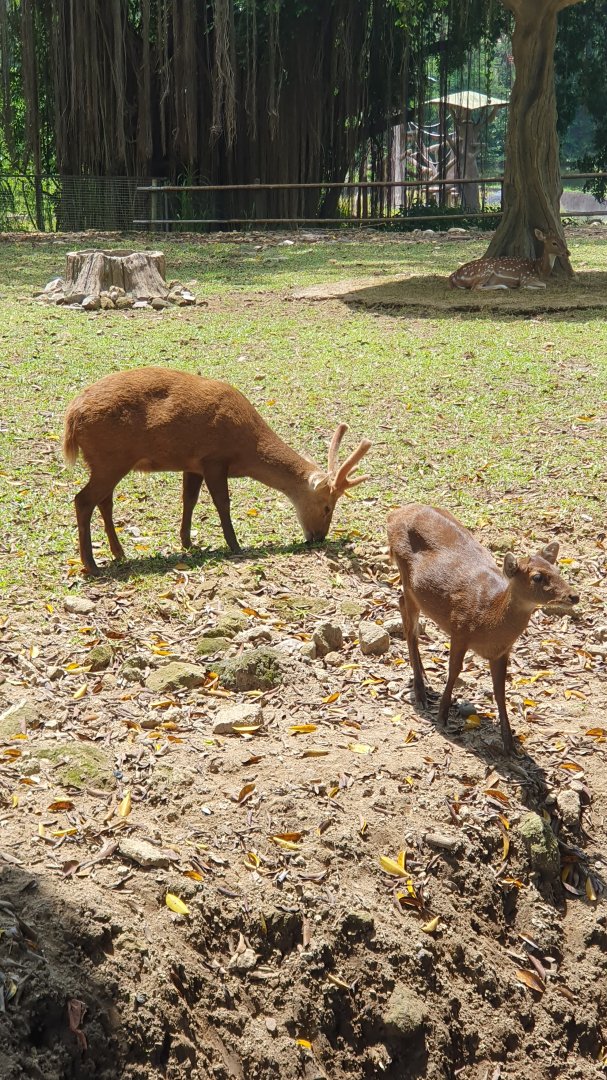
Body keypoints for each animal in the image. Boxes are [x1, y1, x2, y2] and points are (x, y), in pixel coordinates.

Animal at [63, 367, 372, 575]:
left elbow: (189, 500)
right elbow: (222, 503)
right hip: (110, 458)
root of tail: (72, 416)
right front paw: (235, 545)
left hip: (105, 463)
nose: (318, 538)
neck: (246, 449)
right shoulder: (214, 459)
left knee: (104, 501)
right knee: (83, 500)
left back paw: (119, 553)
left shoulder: (192, 464)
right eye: (327, 506)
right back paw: (92, 565)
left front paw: (188, 543)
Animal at [387, 504, 579, 753]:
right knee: (409, 623)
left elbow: (500, 690)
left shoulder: (501, 651)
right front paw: (442, 716)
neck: (488, 620)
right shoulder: (459, 628)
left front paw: (510, 744)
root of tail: (394, 514)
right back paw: (420, 693)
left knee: (403, 609)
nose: (574, 596)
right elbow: (454, 671)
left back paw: (424, 677)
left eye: (557, 570)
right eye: (537, 577)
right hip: (406, 576)